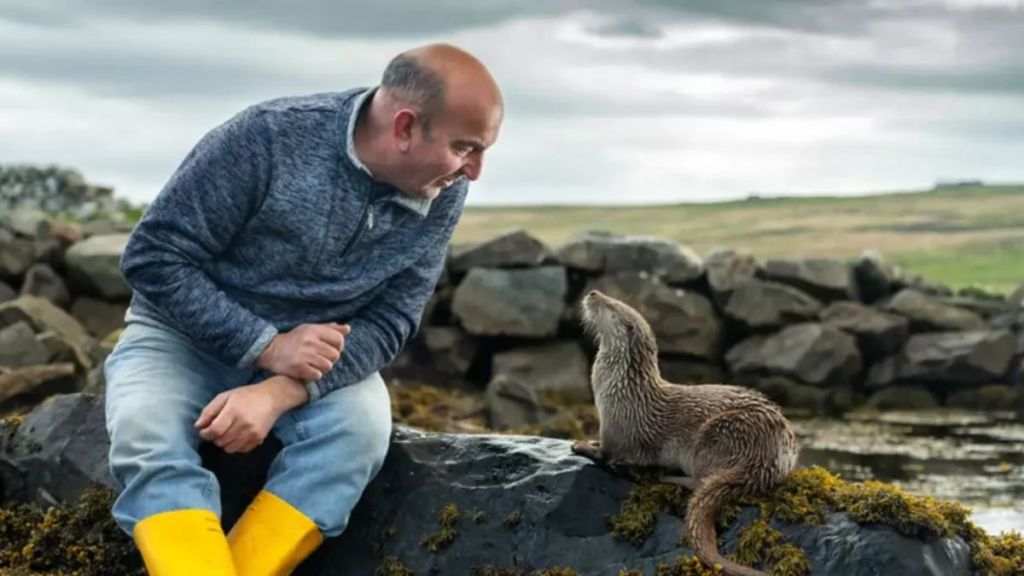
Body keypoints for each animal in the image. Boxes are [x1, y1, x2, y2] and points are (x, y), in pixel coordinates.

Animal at [573, 291, 794, 573]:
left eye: (611, 305)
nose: (593, 294)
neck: (623, 387)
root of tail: (769, 459)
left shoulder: (616, 426)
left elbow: (606, 454)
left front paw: (582, 445)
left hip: (717, 436)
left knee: (700, 480)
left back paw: (667, 476)